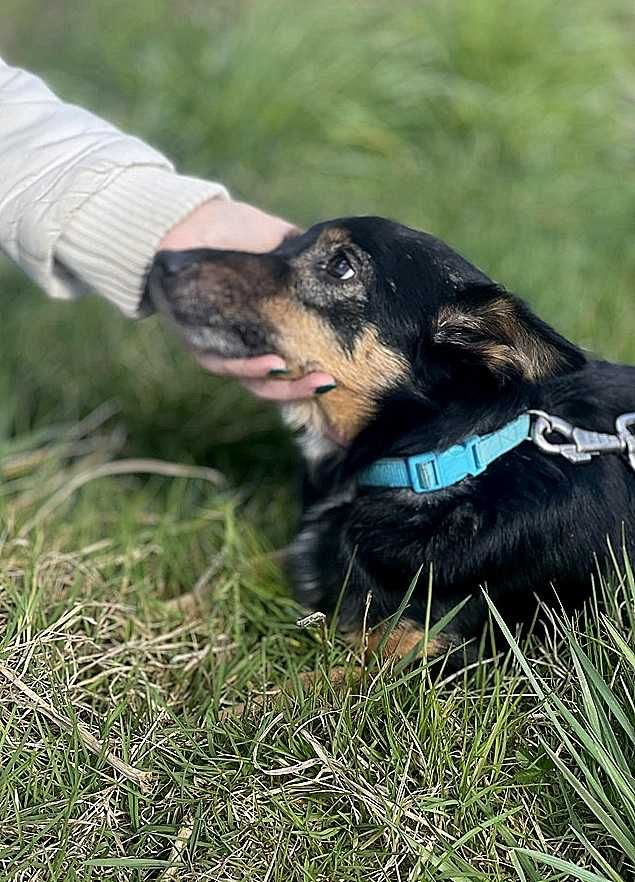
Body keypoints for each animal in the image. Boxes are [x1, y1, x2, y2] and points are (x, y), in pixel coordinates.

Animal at [148, 217, 635, 664]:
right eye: (286, 242)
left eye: (341, 266)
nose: (162, 259)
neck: (439, 460)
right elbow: (237, 570)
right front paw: (163, 608)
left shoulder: (430, 653)